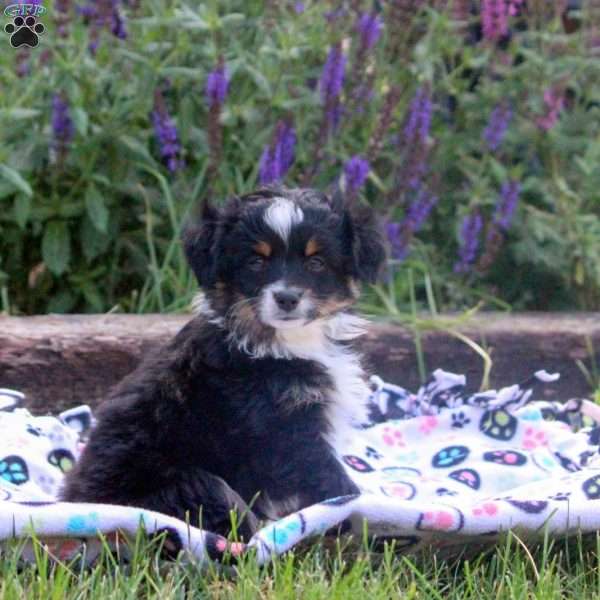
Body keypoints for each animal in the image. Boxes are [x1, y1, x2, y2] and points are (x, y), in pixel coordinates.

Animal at [63, 188, 386, 540]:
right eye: (256, 261)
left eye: (316, 262)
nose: (287, 298)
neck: (282, 342)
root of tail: (79, 501)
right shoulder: (286, 432)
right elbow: (331, 480)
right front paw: (354, 511)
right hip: (192, 484)